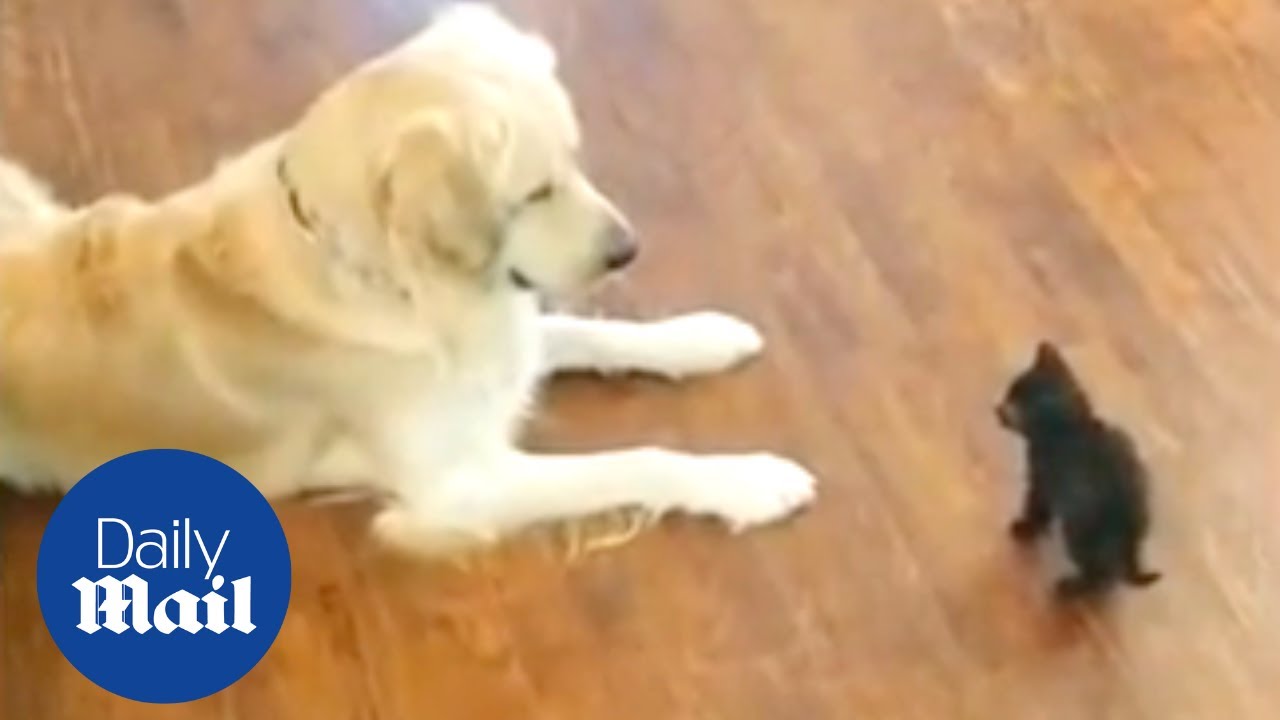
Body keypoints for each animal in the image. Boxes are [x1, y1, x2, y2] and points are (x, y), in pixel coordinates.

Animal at [0, 5, 814, 550]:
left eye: (577, 162)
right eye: (534, 193)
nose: (629, 250)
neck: (383, 280)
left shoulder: (500, 338)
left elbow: (592, 334)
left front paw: (701, 337)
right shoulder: (458, 486)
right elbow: (635, 460)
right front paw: (751, 481)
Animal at [993, 340, 1167, 594]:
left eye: (1014, 396)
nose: (998, 409)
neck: (1070, 425)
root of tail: (1131, 529)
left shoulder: (1043, 482)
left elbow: (1036, 508)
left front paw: (1026, 527)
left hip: (1079, 531)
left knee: (1100, 573)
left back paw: (1072, 587)